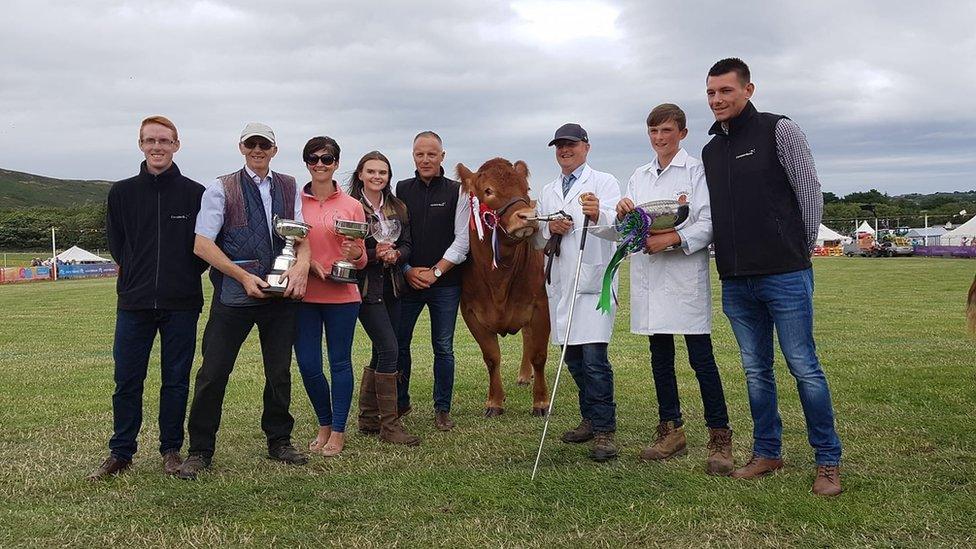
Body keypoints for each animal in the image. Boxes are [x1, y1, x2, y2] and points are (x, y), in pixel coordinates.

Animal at [456, 158, 548, 416]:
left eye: (526, 188)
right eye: (488, 190)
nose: (528, 216)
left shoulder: (541, 306)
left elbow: (539, 355)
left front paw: (541, 402)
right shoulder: (471, 312)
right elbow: (491, 357)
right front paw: (494, 402)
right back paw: (523, 376)